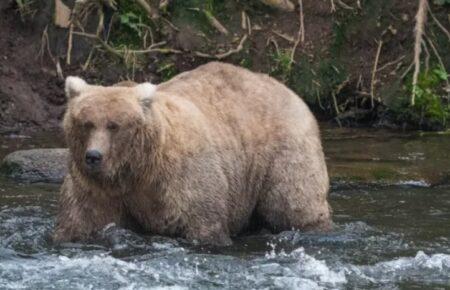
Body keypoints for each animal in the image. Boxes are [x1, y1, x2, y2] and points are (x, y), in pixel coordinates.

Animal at [54, 61, 332, 245]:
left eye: (114, 125)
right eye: (86, 123)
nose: (93, 156)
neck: (137, 169)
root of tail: (289, 90)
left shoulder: (182, 178)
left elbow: (203, 223)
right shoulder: (96, 188)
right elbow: (81, 221)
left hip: (282, 151)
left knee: (292, 202)